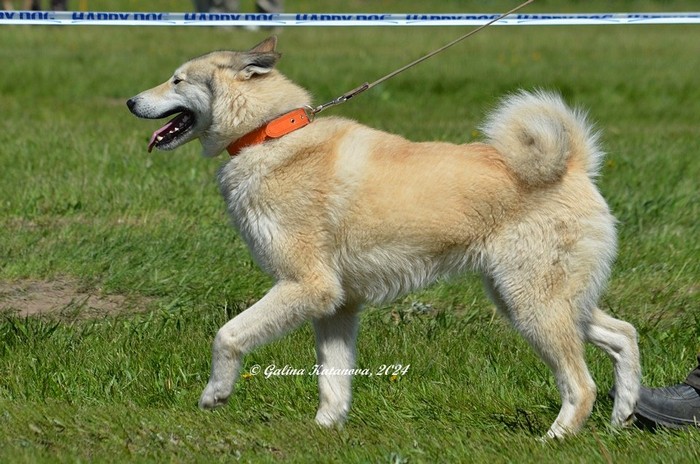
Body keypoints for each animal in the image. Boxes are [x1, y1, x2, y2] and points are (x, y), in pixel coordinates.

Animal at [127, 36, 641, 438]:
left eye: (177, 80)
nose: (131, 102)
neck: (268, 136)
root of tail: (574, 165)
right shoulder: (336, 306)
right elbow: (333, 380)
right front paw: (325, 429)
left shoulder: (307, 286)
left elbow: (227, 335)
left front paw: (215, 393)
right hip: (542, 300)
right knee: (624, 336)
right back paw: (623, 416)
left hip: (531, 302)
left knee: (581, 385)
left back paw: (556, 438)